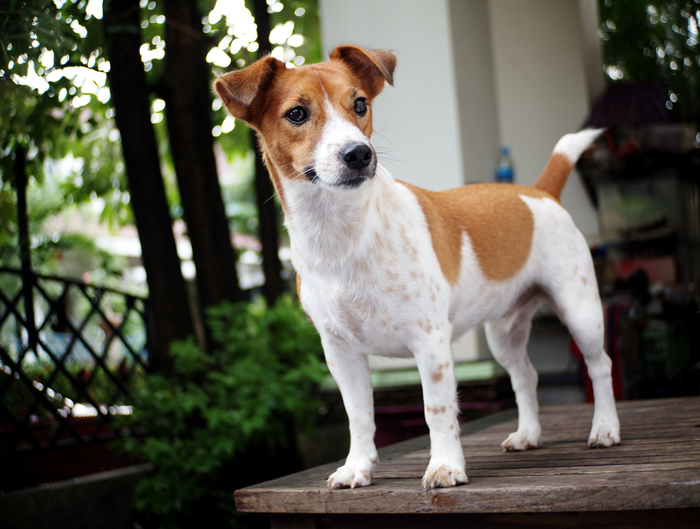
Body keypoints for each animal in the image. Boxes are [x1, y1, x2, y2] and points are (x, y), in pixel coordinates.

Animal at [216, 47, 620, 488]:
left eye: (360, 105)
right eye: (296, 114)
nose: (359, 154)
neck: (342, 237)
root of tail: (538, 191)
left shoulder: (430, 341)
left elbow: (437, 410)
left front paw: (445, 466)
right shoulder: (340, 352)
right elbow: (358, 415)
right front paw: (357, 467)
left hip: (580, 311)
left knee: (601, 367)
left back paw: (605, 428)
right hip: (504, 332)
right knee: (526, 376)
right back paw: (528, 434)